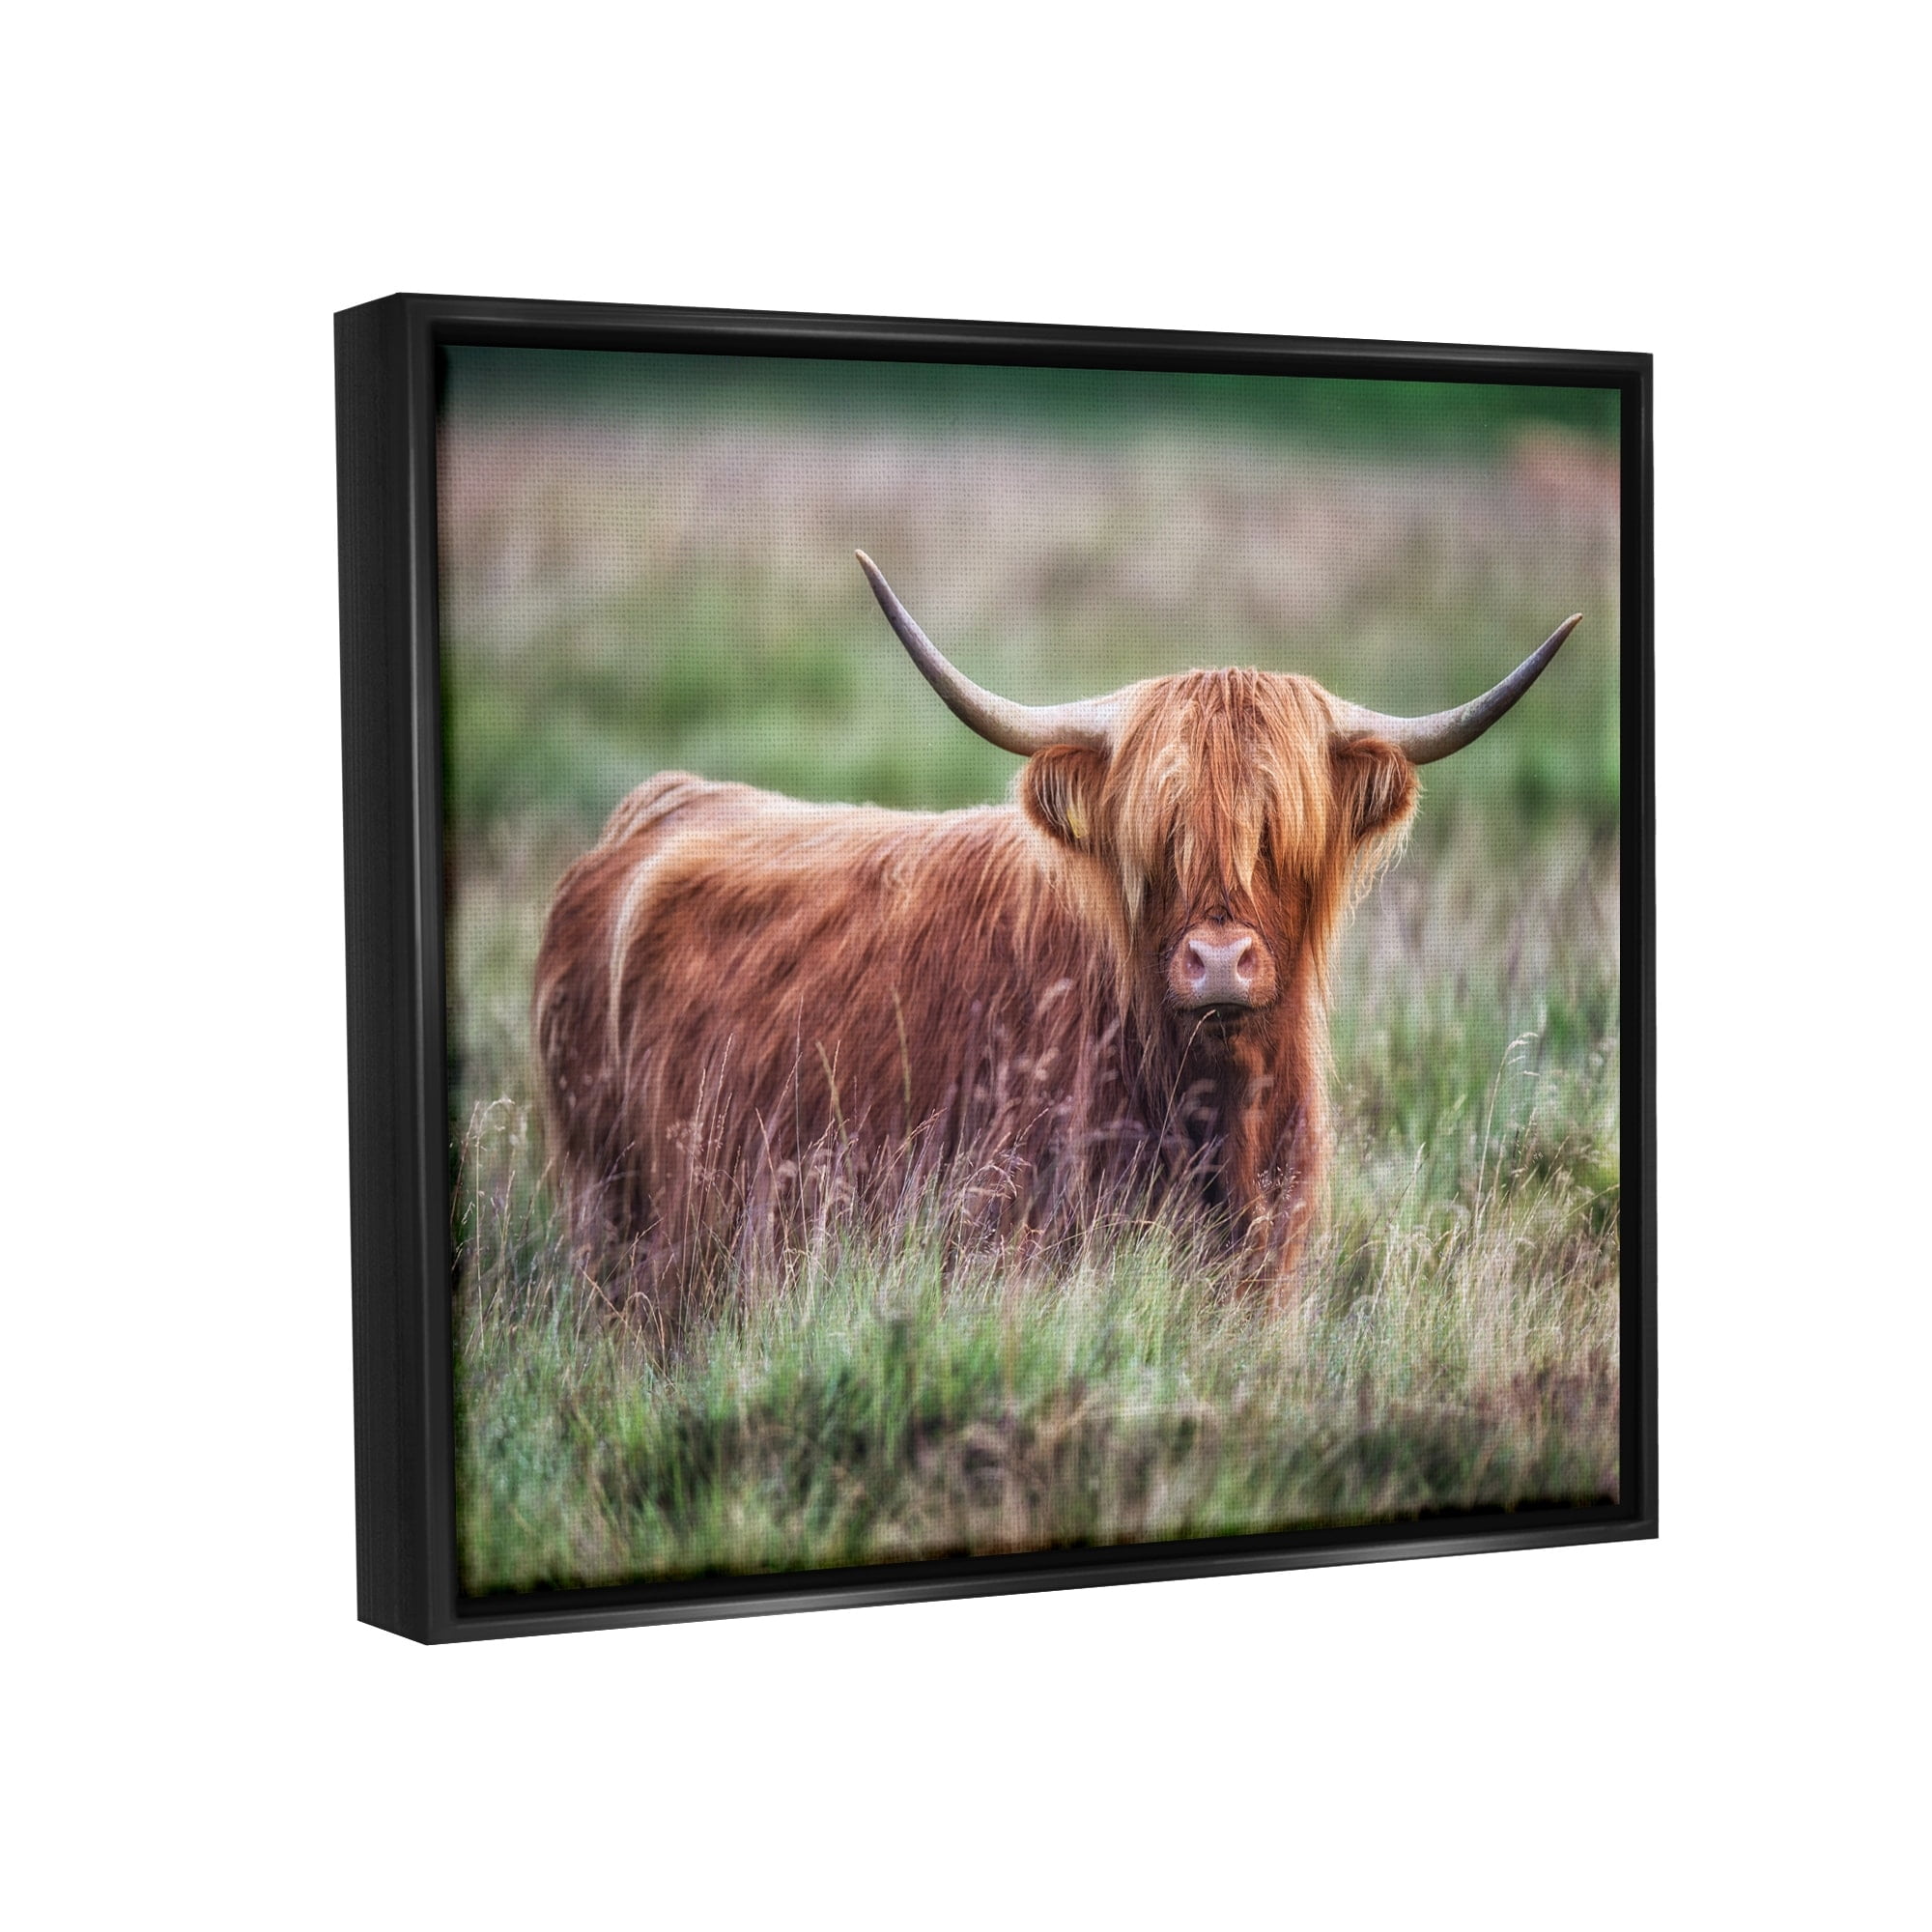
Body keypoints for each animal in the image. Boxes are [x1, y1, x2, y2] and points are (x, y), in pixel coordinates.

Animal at [534, 552, 1581, 1313]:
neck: (1211, 1110)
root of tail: (658, 806)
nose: (1217, 963)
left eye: (1277, 832)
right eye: (1158, 836)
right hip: (609, 1211)